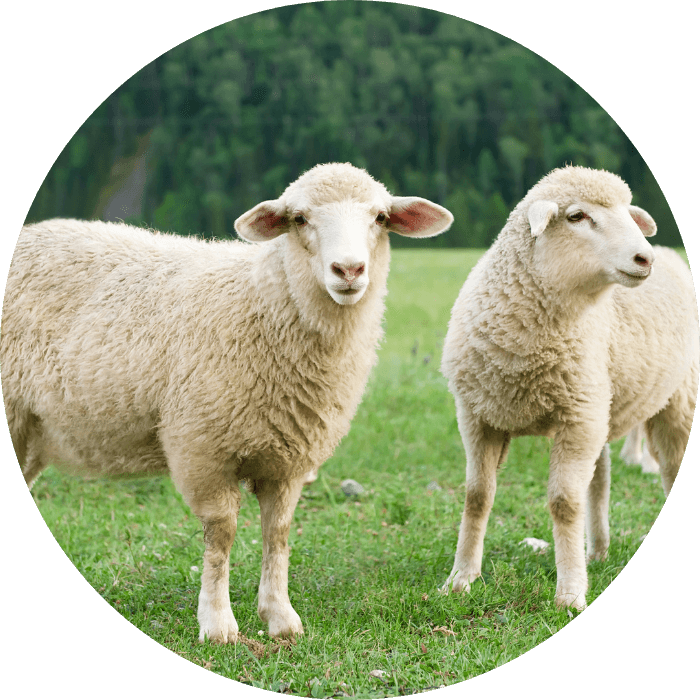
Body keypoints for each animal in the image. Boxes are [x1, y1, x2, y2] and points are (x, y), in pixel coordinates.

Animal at [2, 162, 453, 643]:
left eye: (381, 218)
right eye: (299, 219)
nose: (348, 270)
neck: (264, 304)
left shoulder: (289, 458)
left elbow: (278, 533)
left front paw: (280, 617)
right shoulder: (202, 449)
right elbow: (222, 535)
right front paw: (218, 624)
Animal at [440, 165, 697, 611]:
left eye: (628, 213)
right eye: (577, 216)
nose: (643, 258)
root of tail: (669, 252)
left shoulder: (577, 420)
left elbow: (564, 504)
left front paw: (570, 593)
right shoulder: (477, 417)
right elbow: (477, 495)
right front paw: (461, 579)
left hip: (672, 401)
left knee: (668, 466)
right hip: (600, 406)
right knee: (601, 478)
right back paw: (596, 551)